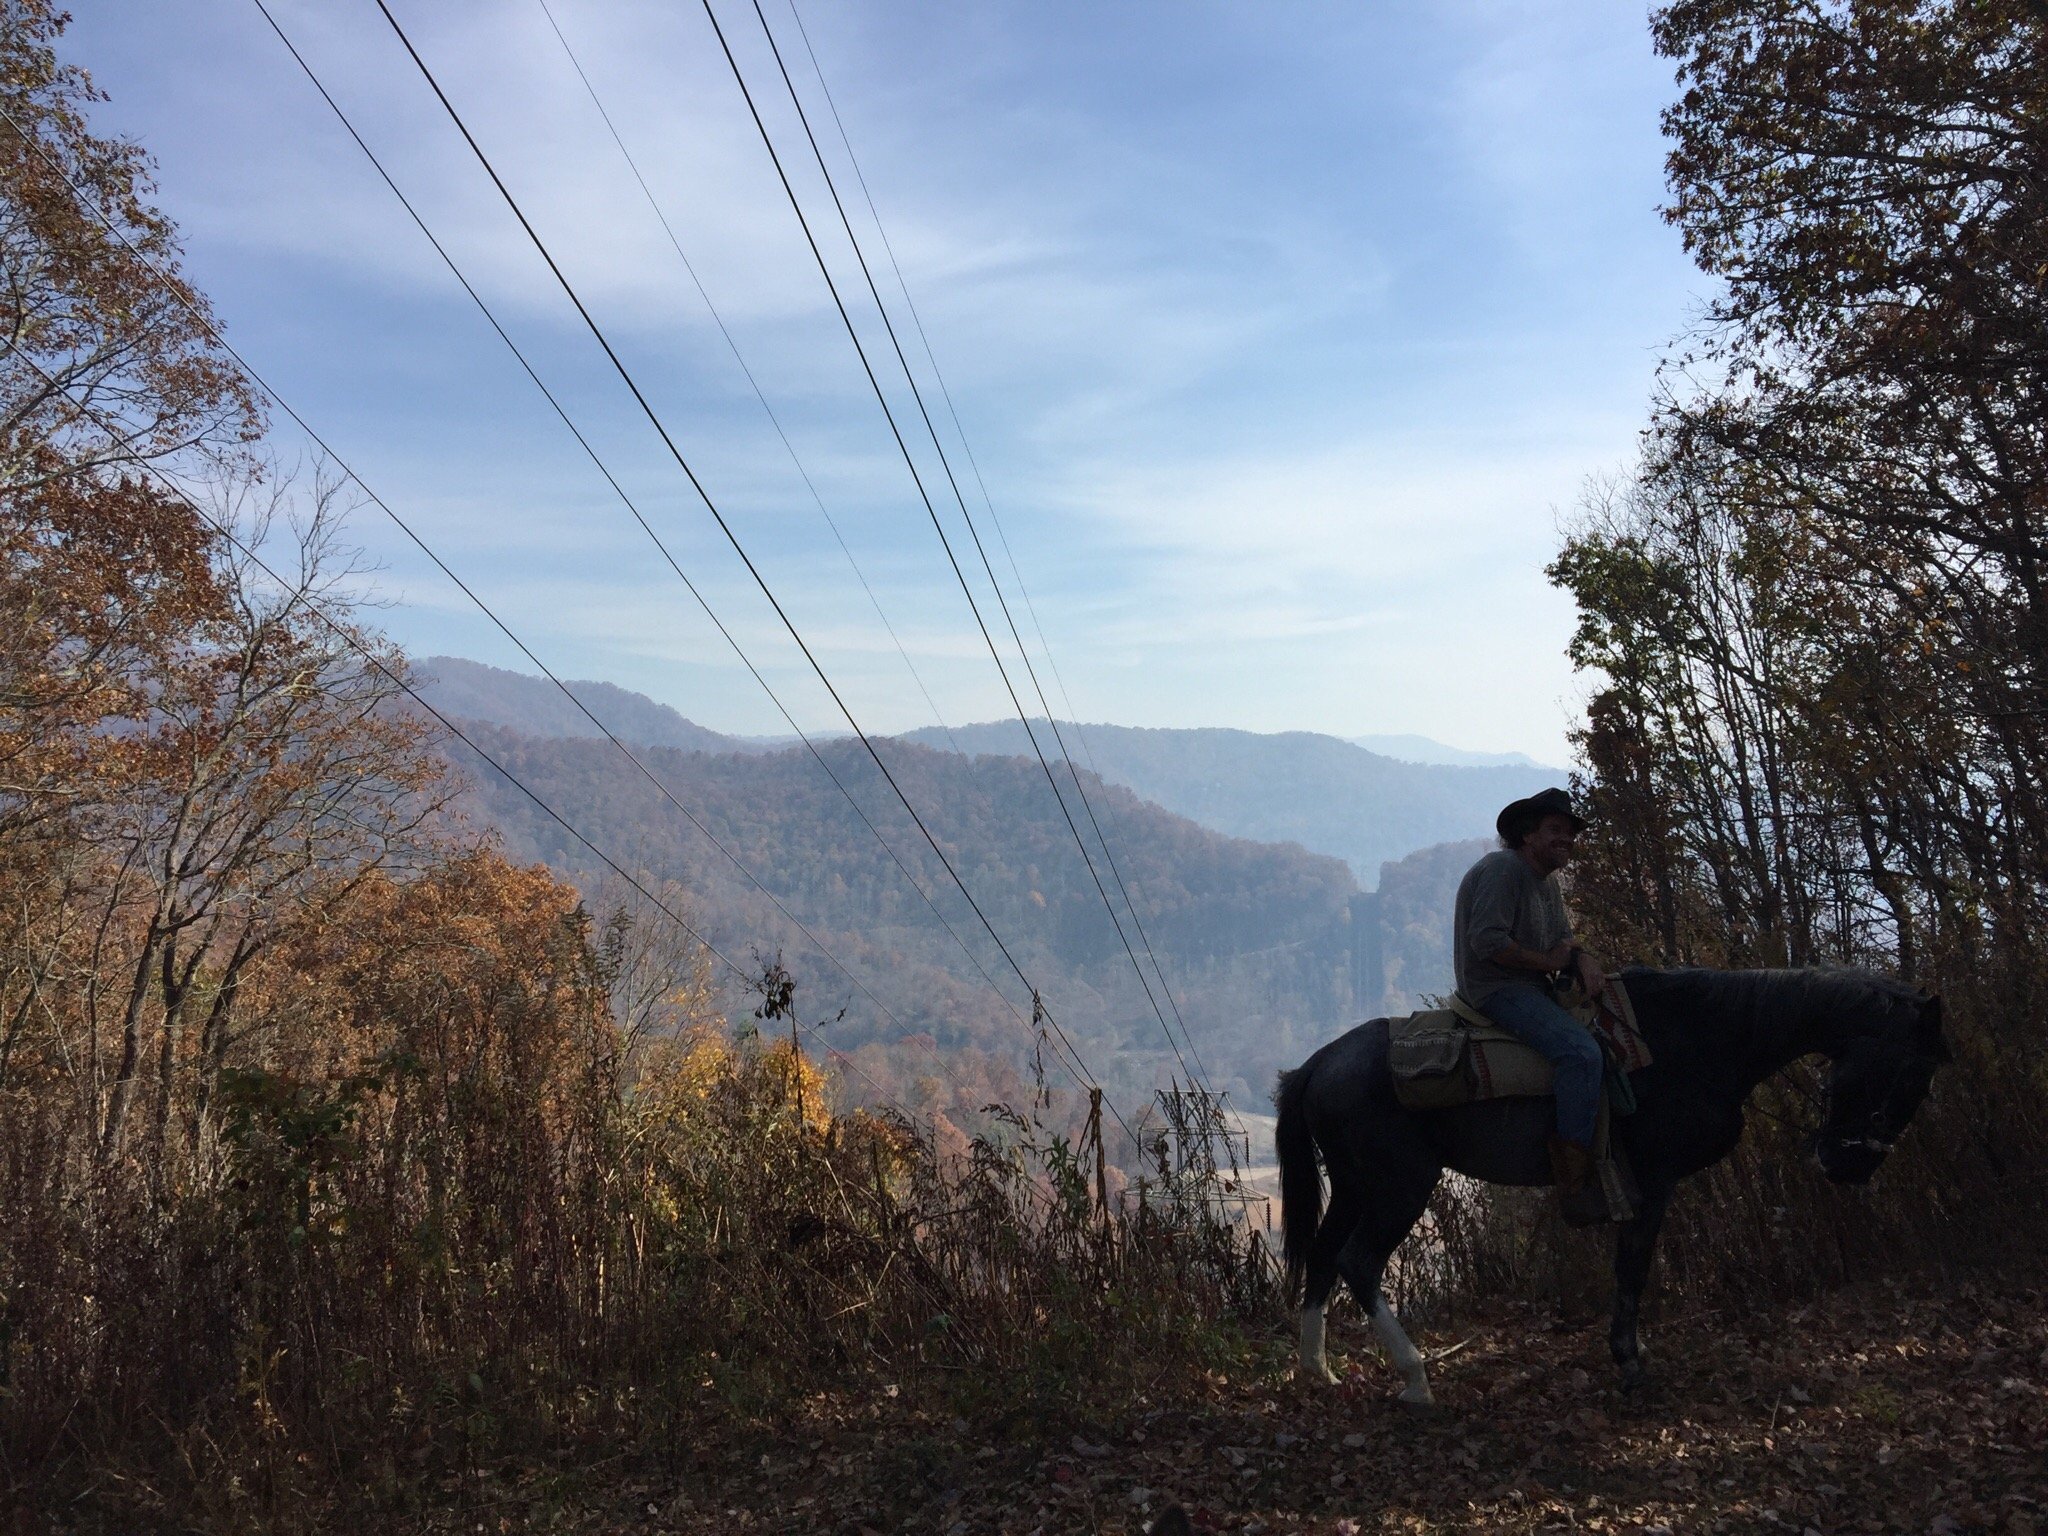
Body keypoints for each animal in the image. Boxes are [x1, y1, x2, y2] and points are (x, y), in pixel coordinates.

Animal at [1277, 966, 1949, 1417]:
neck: (1698, 1038)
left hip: (1355, 1186)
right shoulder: (1653, 1181)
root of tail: (1319, 1062)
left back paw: (1318, 1369)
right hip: (1399, 1187)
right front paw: (1629, 1360)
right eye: (1910, 1073)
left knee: (1324, 1254)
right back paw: (1415, 1378)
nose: (1849, 1166)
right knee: (1359, 1262)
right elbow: (1633, 1268)